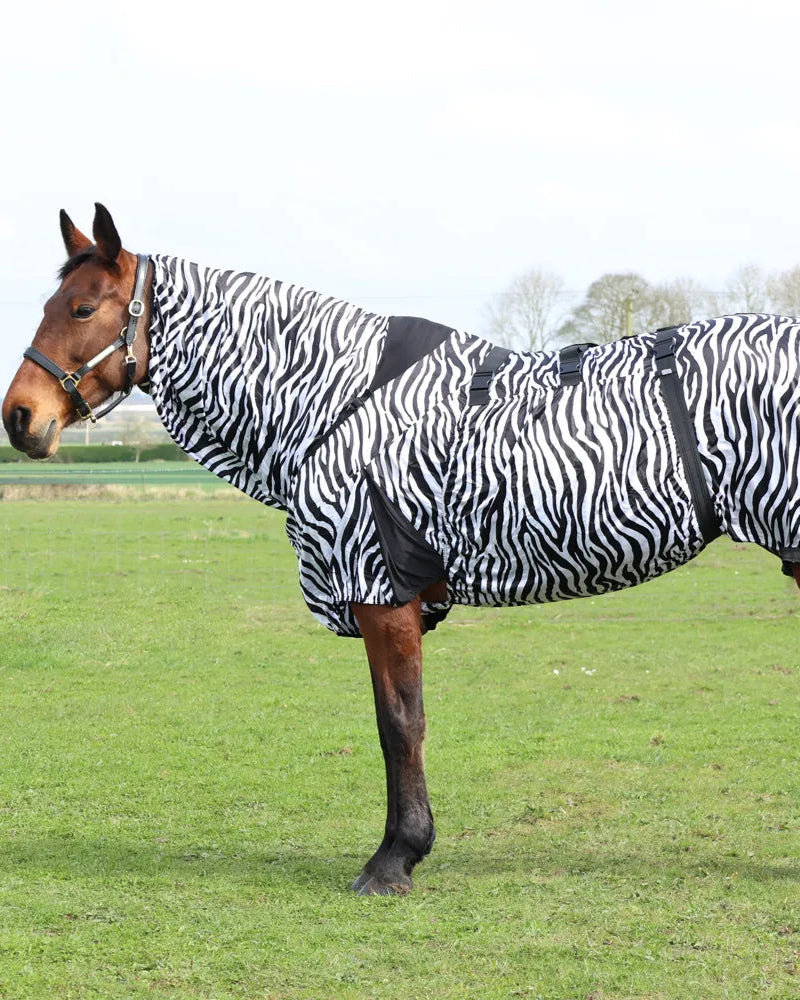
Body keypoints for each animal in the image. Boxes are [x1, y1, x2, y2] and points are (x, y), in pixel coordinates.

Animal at [4, 204, 800, 895]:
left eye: (82, 309)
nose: (19, 416)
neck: (335, 402)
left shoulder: (383, 591)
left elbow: (400, 725)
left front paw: (395, 858)